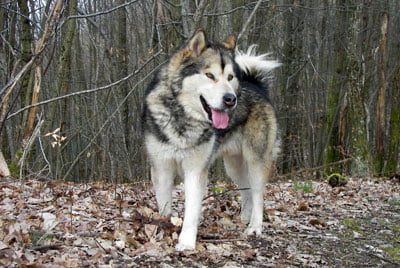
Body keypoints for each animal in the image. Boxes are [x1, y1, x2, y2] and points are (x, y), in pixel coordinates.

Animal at [142, 29, 280, 251]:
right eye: (209, 75)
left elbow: (191, 209)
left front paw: (186, 242)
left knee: (258, 194)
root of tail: (256, 85)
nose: (231, 99)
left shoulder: (195, 170)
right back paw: (245, 217)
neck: (184, 117)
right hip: (233, 166)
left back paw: (254, 226)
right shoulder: (161, 168)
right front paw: (163, 227)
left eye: (230, 77)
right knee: (246, 189)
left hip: (255, 161)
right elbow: (164, 205)